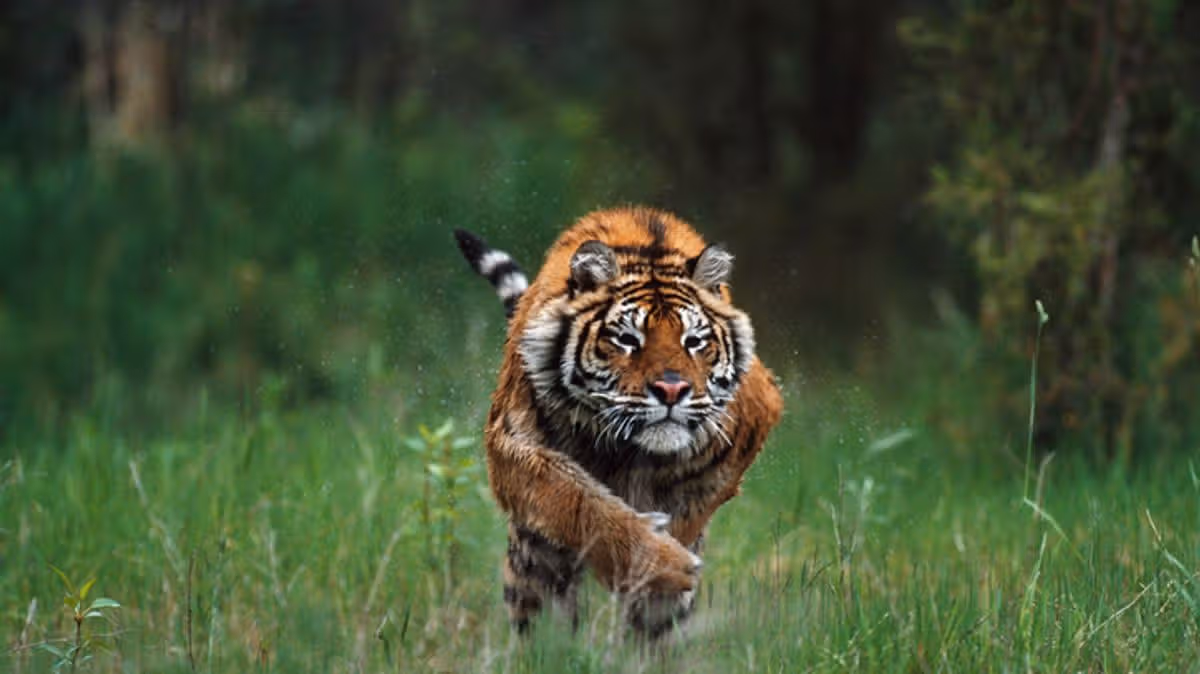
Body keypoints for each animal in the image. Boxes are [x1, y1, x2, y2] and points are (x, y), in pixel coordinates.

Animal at [454, 206, 783, 638]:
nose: (672, 390)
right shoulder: (511, 443)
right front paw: (657, 562)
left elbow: (697, 501)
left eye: (694, 342)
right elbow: (575, 498)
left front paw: (666, 563)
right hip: (531, 564)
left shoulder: (753, 418)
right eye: (627, 340)